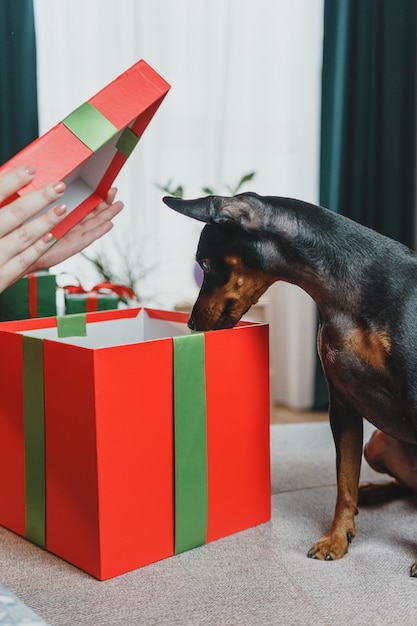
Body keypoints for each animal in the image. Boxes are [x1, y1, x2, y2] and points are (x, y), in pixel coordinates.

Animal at [163, 191, 417, 576]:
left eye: (204, 263)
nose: (191, 324)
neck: (347, 289)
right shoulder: (342, 405)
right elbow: (344, 481)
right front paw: (336, 539)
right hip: (377, 443)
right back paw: (372, 492)